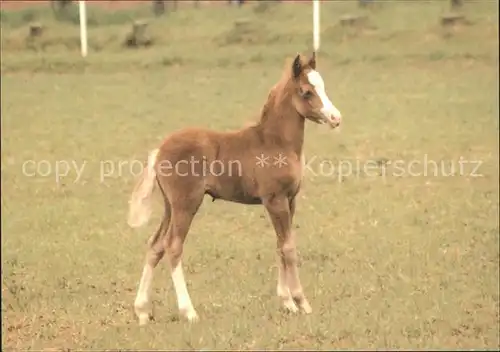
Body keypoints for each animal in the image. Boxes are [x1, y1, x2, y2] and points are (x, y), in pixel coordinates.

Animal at [127, 51, 342, 324]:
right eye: (306, 91)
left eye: (322, 86)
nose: (336, 118)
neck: (274, 142)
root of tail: (159, 150)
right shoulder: (275, 200)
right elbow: (289, 248)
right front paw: (300, 303)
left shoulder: (289, 200)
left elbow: (281, 245)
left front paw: (286, 302)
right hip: (186, 205)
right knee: (173, 247)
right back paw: (189, 311)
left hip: (169, 207)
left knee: (155, 246)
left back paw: (142, 311)